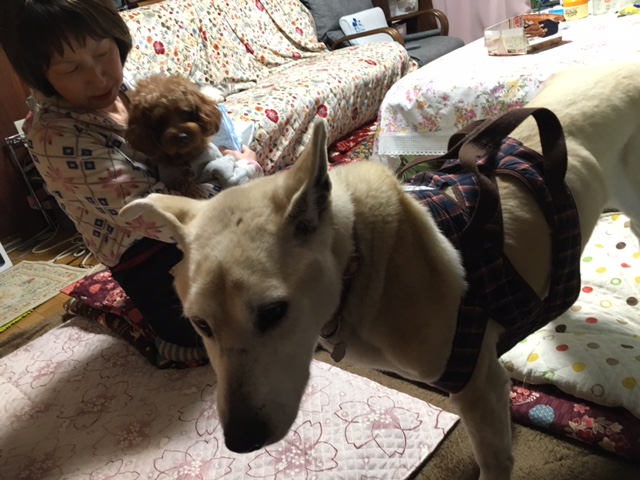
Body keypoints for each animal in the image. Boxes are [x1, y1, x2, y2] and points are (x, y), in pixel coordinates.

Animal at [119, 62, 640, 479]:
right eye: (200, 325)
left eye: (273, 312)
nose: (241, 441)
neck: (361, 260)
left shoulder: (476, 385)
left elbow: (494, 459)